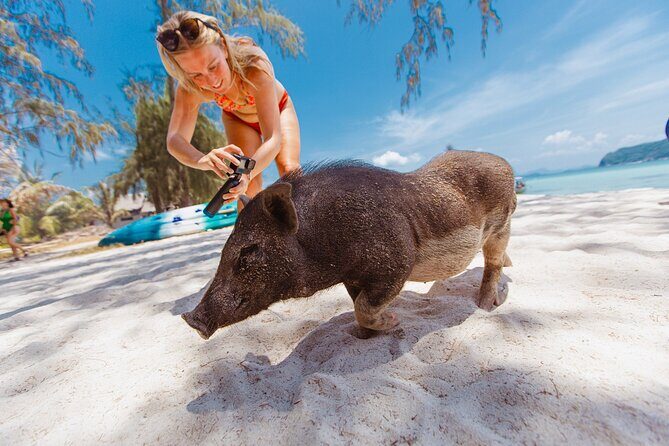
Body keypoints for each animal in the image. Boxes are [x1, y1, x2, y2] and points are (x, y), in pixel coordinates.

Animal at [182, 150, 516, 339]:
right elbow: (357, 306)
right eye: (225, 247)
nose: (191, 319)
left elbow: (363, 307)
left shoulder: (397, 263)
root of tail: (505, 163)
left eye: (249, 251)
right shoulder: (352, 278)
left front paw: (394, 321)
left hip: (502, 223)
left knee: (493, 263)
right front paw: (363, 337)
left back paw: (485, 305)